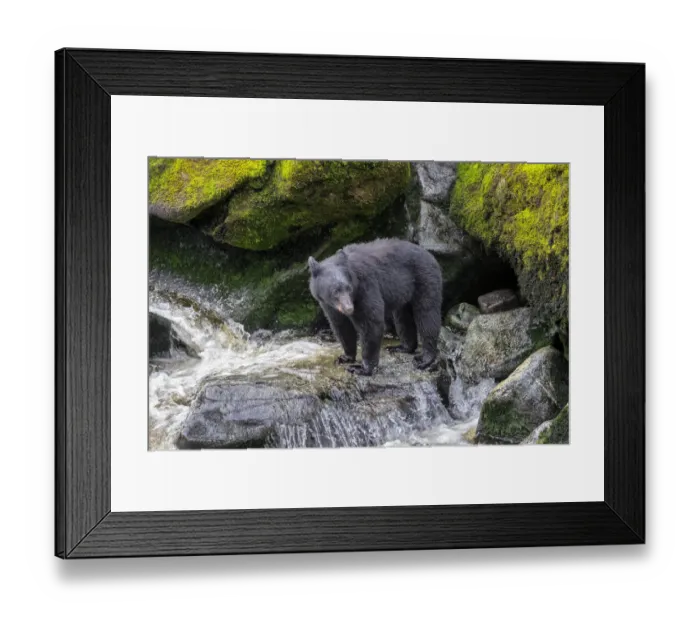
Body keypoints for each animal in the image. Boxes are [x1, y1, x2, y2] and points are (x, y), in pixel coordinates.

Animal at [308, 238, 443, 376]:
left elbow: (371, 322)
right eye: (335, 291)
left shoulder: (365, 286)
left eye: (348, 288)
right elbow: (341, 325)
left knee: (427, 315)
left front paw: (362, 368)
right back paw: (402, 347)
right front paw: (345, 357)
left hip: (425, 278)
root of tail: (429, 254)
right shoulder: (328, 305)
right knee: (403, 317)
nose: (349, 308)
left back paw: (425, 359)